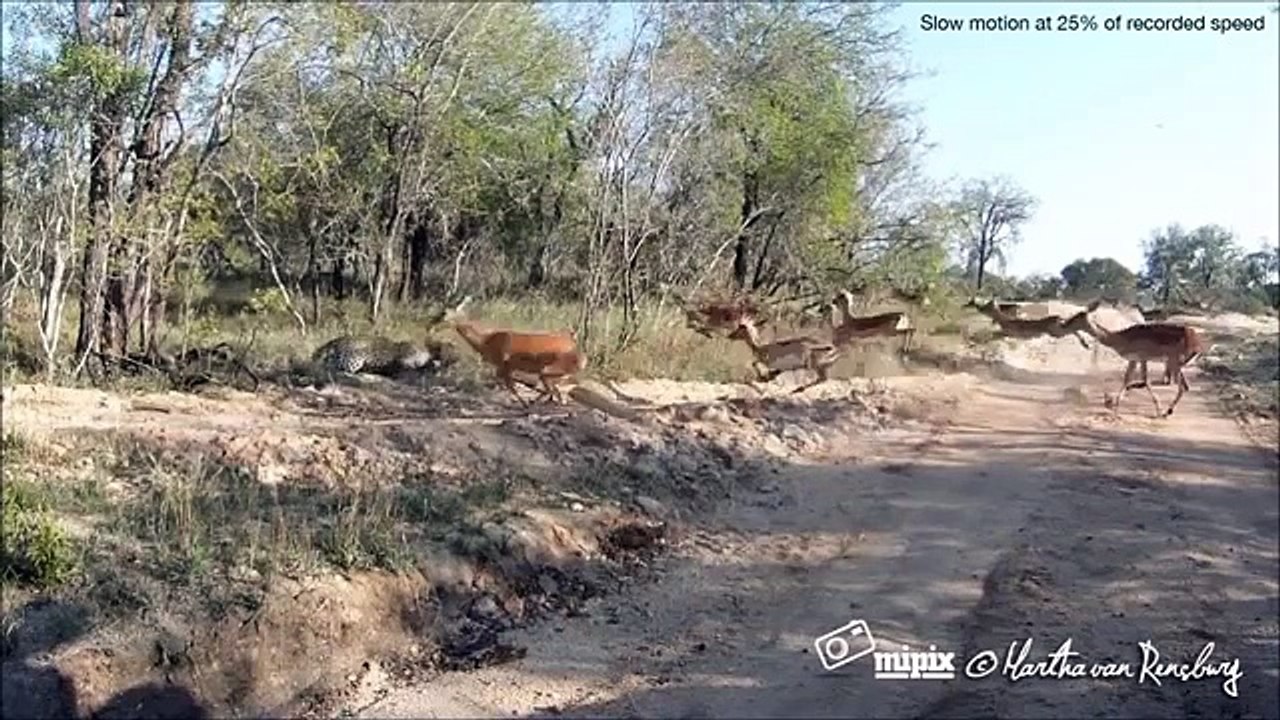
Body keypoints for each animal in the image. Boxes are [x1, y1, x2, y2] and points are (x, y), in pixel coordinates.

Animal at [446, 297, 587, 406]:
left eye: (451, 312)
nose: (444, 317)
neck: (484, 342)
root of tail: (582, 357)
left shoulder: (503, 364)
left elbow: (510, 385)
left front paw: (522, 402)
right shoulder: (506, 366)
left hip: (550, 368)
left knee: (555, 387)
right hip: (555, 372)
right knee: (559, 388)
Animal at [1060, 301, 1205, 417]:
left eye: (1077, 316)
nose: (1064, 324)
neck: (1119, 338)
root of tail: (1197, 343)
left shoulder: (1142, 357)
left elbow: (1144, 380)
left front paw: (1157, 410)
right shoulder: (1133, 359)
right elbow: (1127, 379)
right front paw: (1113, 406)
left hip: (1173, 361)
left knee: (1180, 386)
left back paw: (1166, 412)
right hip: (1175, 363)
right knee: (1183, 385)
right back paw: (1167, 411)